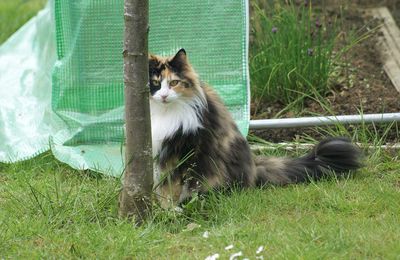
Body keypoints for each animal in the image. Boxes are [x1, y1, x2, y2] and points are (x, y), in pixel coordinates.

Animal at [148, 48, 362, 207]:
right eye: (156, 83)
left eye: (174, 82)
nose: (164, 96)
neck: (163, 114)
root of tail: (254, 167)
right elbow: (161, 185)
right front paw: (164, 207)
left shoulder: (184, 151)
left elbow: (172, 186)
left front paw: (171, 209)